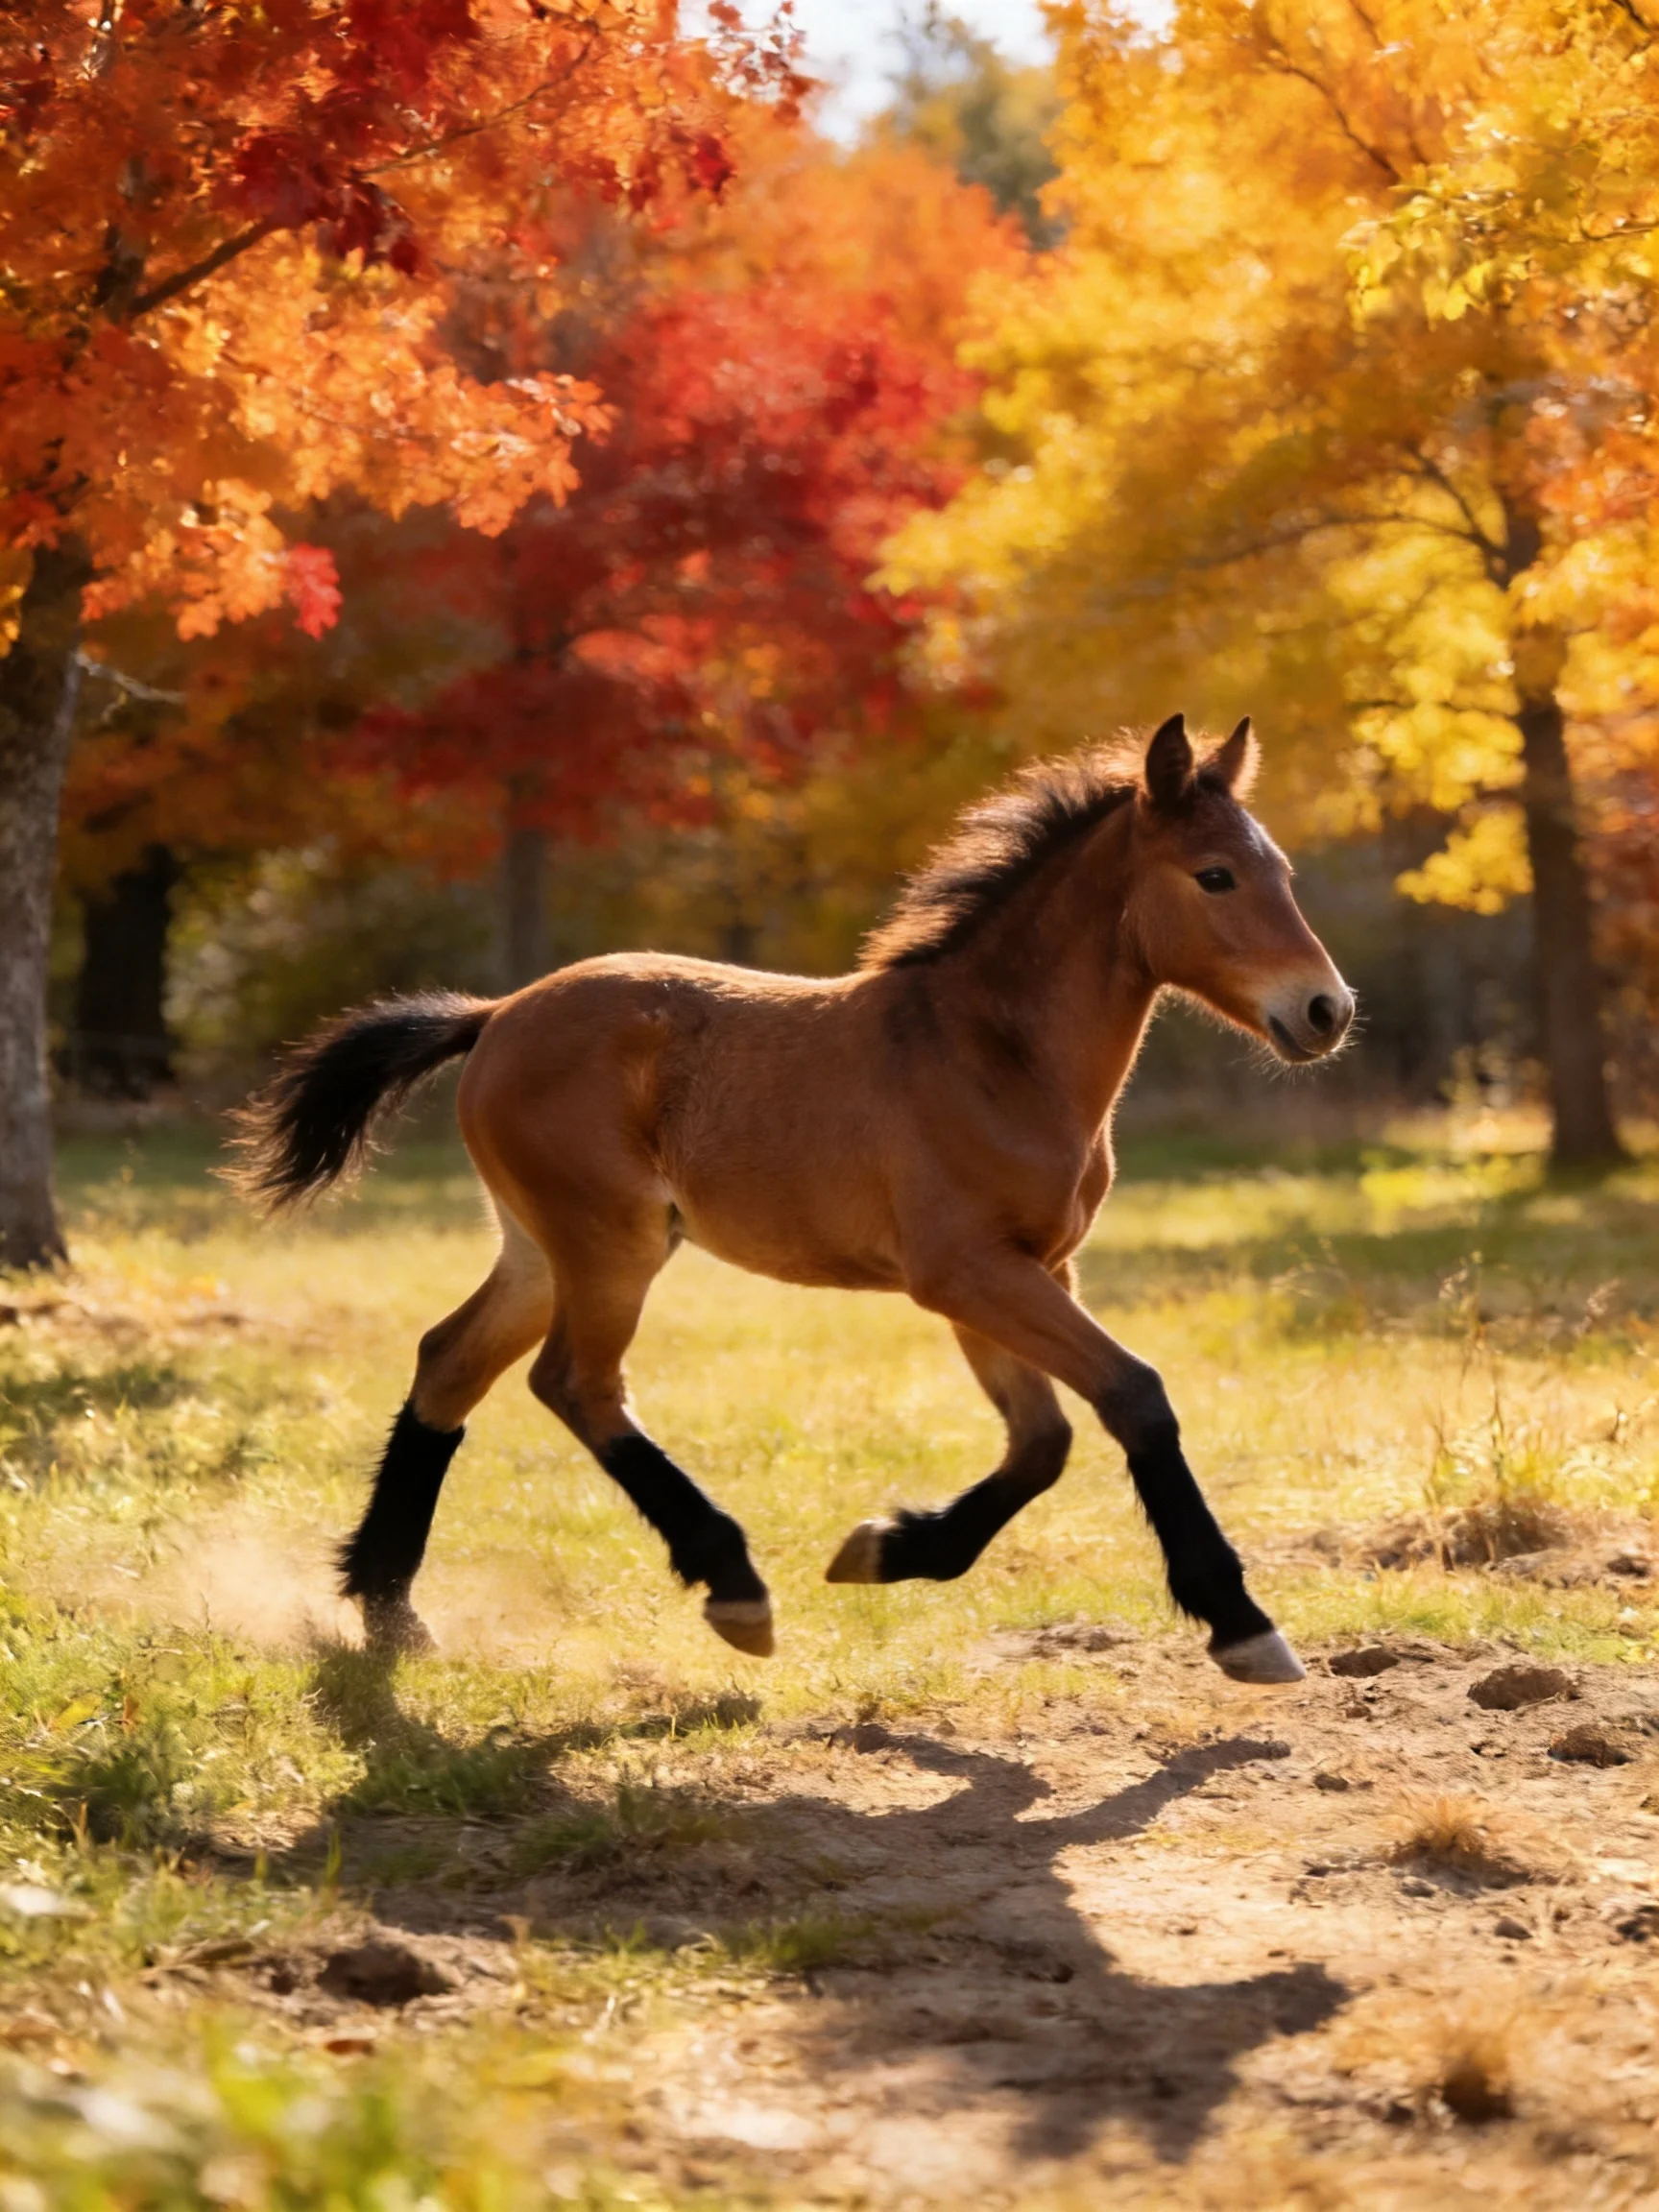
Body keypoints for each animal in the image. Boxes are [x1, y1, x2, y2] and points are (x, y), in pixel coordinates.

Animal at [232, 712, 1353, 1685]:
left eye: (1285, 875)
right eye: (1215, 876)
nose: (1325, 1010)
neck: (992, 1057)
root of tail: (498, 1012)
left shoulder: (1019, 1274)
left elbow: (1041, 1443)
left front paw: (887, 1549)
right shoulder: (969, 1272)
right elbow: (1133, 1396)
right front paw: (1241, 1623)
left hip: (541, 1248)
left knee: (451, 1362)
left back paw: (388, 1607)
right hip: (608, 1244)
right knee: (576, 1384)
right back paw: (731, 1583)